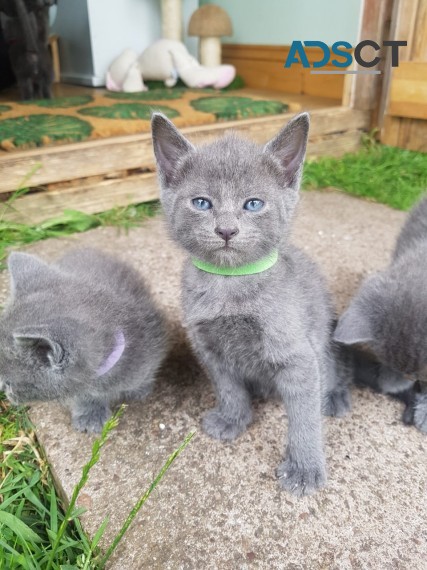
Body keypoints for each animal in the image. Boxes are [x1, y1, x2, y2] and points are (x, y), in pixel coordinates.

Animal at [152, 111, 352, 492]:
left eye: (253, 204)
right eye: (202, 203)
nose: (226, 230)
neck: (229, 284)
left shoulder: (297, 354)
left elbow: (304, 414)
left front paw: (304, 466)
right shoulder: (207, 346)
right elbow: (228, 386)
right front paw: (234, 418)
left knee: (331, 368)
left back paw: (334, 397)